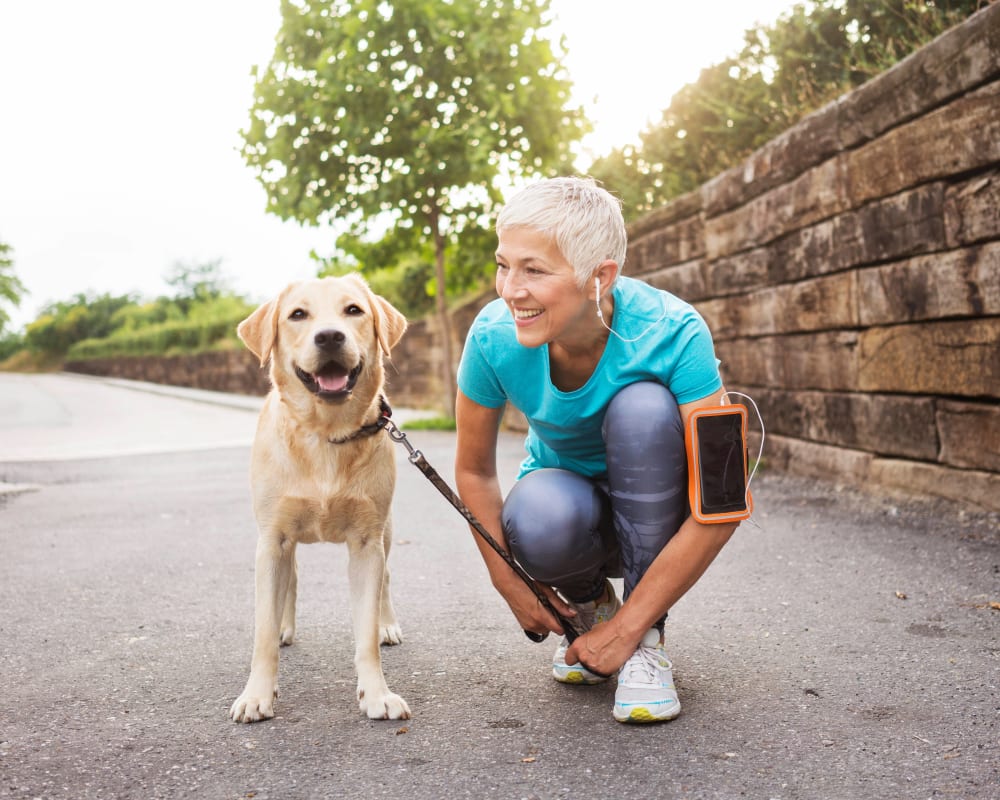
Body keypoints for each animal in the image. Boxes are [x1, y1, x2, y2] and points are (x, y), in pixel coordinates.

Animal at [230, 276, 410, 724]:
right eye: (298, 314)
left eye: (353, 310)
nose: (329, 336)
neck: (327, 435)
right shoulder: (272, 539)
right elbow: (262, 632)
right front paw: (257, 694)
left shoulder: (365, 542)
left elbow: (365, 632)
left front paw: (376, 693)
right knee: (291, 577)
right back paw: (284, 626)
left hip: (386, 532)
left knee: (386, 578)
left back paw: (387, 623)